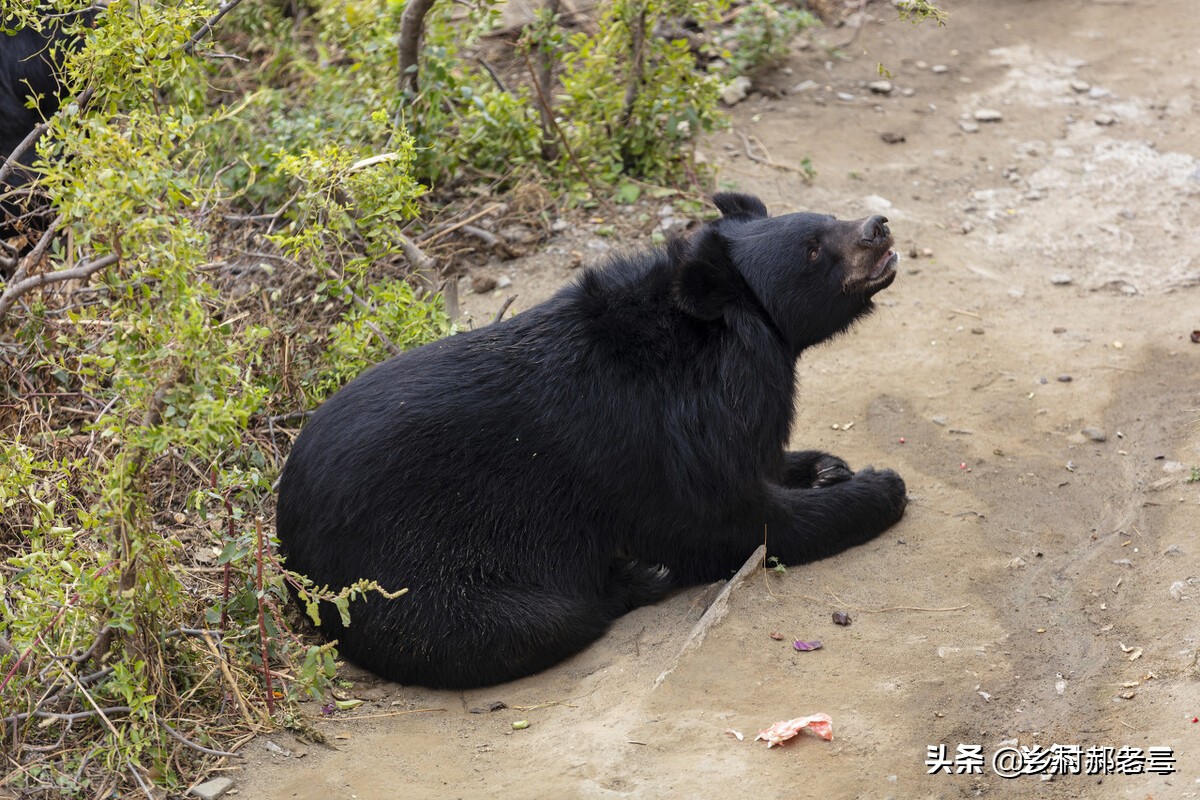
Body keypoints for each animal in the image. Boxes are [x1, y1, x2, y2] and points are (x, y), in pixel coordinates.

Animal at [274, 191, 907, 690]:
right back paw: (638, 577)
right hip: (413, 580)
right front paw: (881, 489)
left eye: (831, 218)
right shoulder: (663, 448)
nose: (878, 226)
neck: (721, 342)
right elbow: (731, 521)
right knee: (530, 624)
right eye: (814, 250)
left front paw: (825, 467)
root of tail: (287, 549)